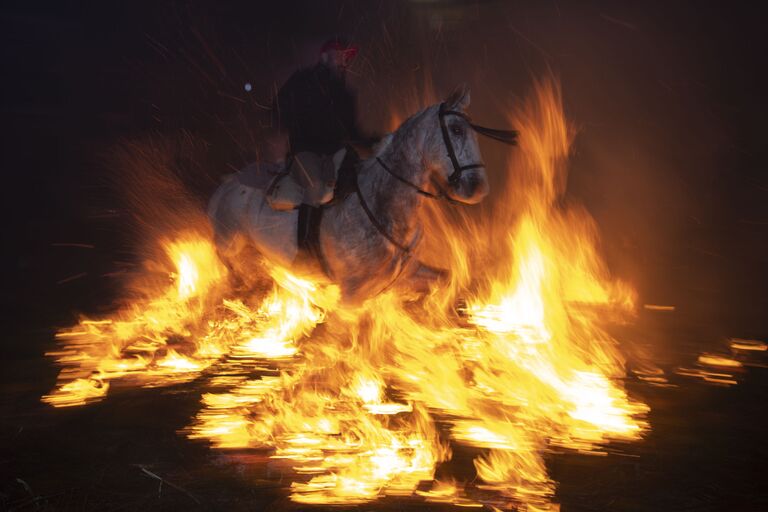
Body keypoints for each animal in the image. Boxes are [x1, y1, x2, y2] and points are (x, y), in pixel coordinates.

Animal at [207, 85, 488, 304]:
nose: (477, 188)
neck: (380, 204)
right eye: (456, 130)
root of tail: (225, 185)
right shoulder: (353, 298)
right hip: (231, 245)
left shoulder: (409, 272)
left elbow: (446, 279)